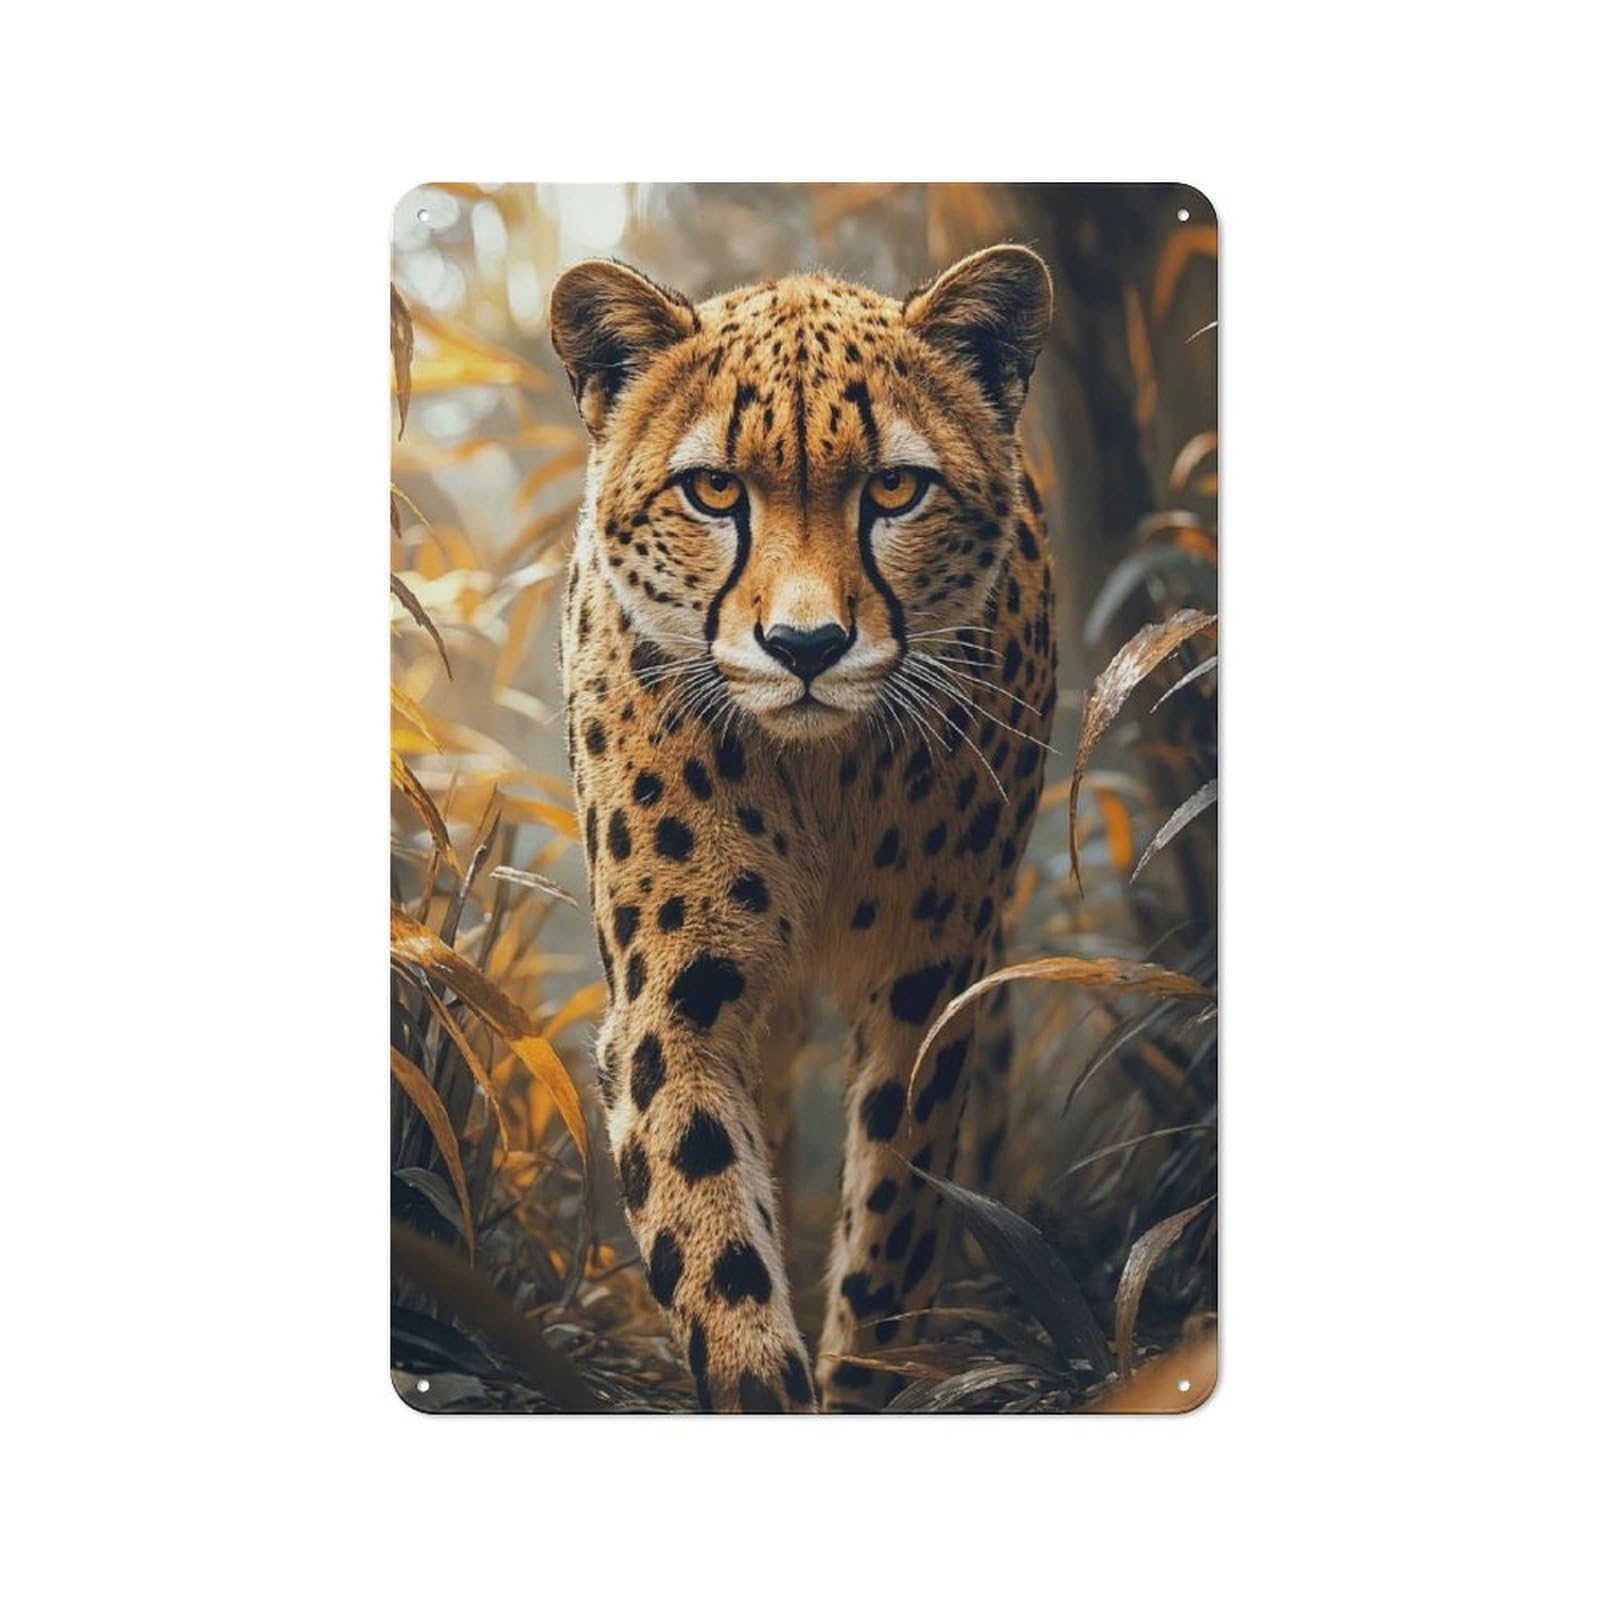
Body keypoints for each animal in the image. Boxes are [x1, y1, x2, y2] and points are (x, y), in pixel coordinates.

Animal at [549, 244, 1057, 1412]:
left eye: (896, 489)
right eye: (713, 490)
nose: (807, 645)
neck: (824, 774)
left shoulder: (930, 985)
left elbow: (897, 1220)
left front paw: (870, 1377)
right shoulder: (678, 996)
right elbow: (708, 1218)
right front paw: (761, 1379)